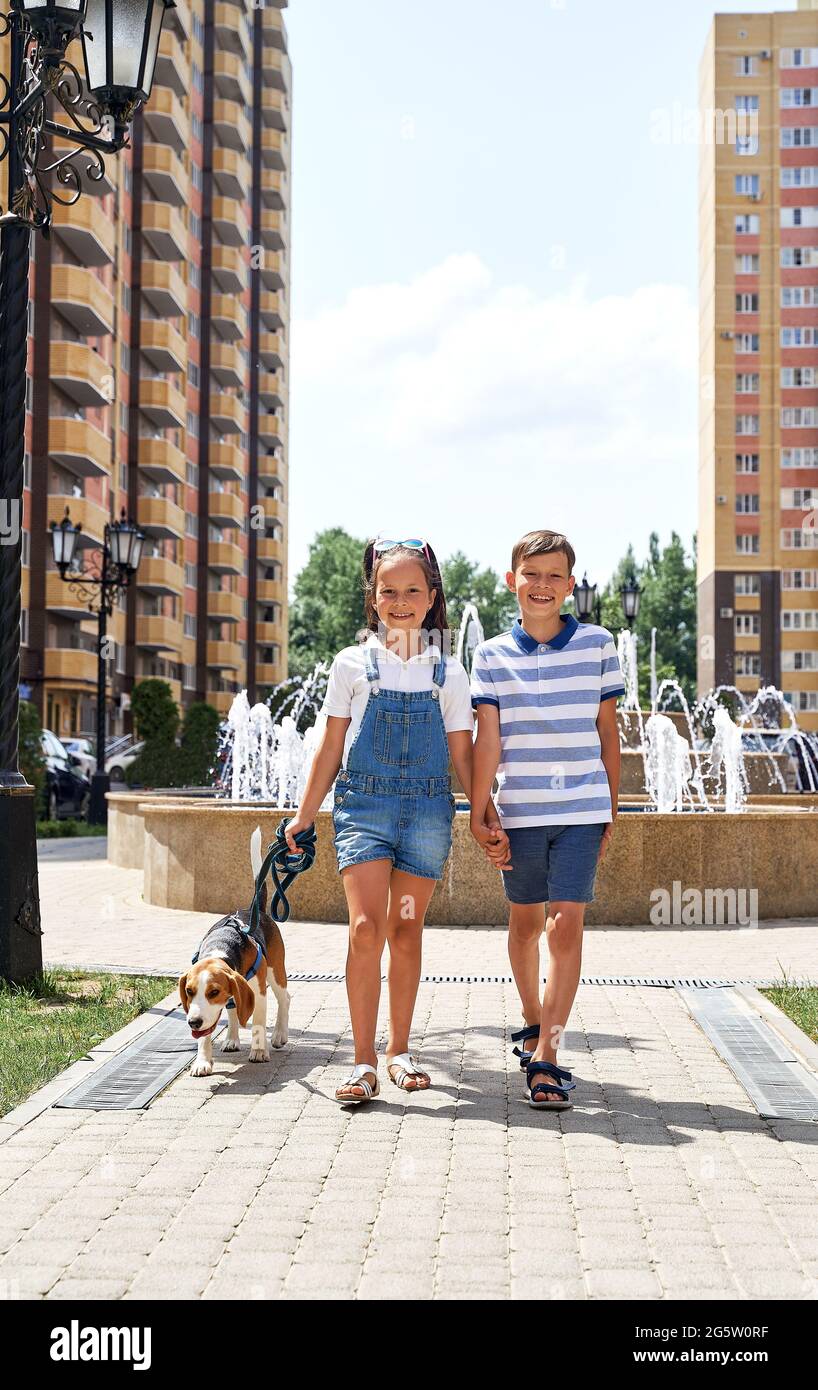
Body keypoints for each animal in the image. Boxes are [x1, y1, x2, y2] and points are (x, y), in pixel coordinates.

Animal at [179, 828, 290, 1078]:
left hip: (276, 972)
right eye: (189, 991)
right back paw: (231, 1039)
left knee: (284, 999)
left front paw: (259, 1051)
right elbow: (207, 1034)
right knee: (232, 1010)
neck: (221, 947)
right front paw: (202, 1061)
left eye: (214, 992)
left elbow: (258, 1022)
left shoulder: (258, 992)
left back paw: (279, 1035)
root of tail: (253, 909)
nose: (193, 1022)